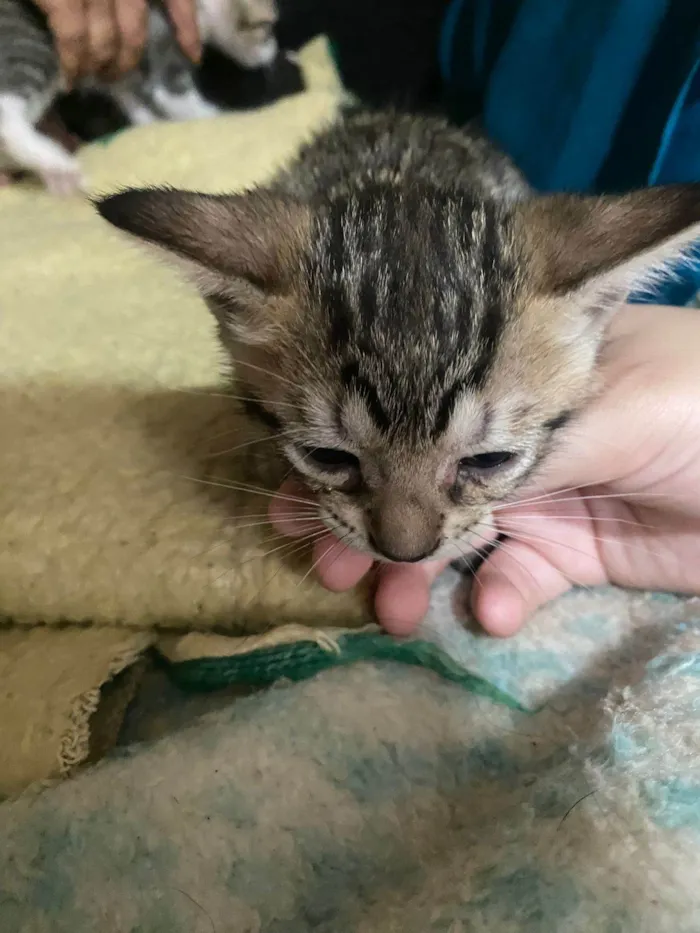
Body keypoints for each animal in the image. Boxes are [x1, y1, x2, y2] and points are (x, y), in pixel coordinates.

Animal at [0, 0, 278, 193]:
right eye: (267, 28)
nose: (274, 52)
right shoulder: (166, 51)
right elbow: (179, 99)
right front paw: (220, 117)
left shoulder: (123, 67)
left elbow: (137, 103)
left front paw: (151, 124)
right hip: (33, 47)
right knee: (7, 118)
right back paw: (57, 165)